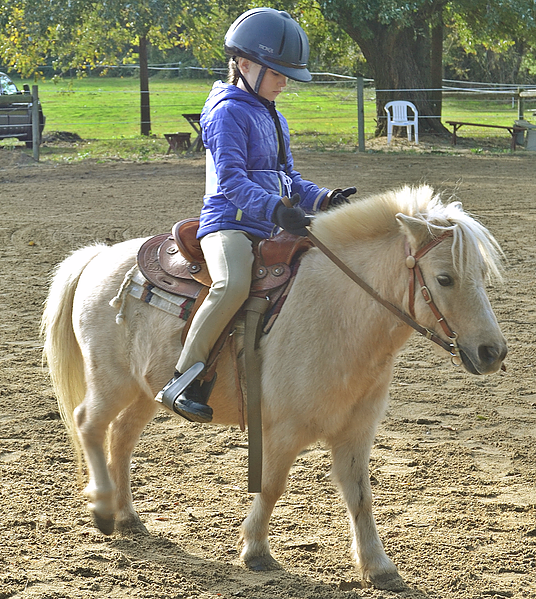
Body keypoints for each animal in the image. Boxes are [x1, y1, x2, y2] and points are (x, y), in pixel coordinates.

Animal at [42, 185, 506, 588]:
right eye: (444, 278)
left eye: (480, 274)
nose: (492, 352)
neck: (338, 312)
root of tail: (100, 256)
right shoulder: (283, 430)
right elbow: (271, 485)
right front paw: (256, 551)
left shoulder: (356, 432)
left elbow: (360, 496)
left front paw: (379, 567)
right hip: (110, 381)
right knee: (89, 425)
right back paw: (103, 510)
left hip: (145, 391)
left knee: (120, 438)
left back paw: (128, 517)